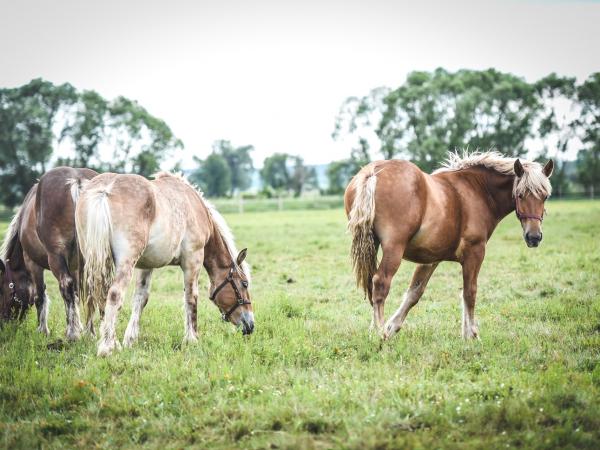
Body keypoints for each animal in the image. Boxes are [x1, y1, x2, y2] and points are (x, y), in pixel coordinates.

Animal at [0, 165, 97, 338]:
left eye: (2, 289)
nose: (4, 323)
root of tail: (77, 180)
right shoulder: (74, 267)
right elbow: (76, 295)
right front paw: (77, 326)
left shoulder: (33, 263)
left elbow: (40, 295)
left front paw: (43, 330)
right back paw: (90, 333)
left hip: (55, 257)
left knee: (65, 285)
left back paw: (72, 334)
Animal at [74, 171, 253, 356]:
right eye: (244, 284)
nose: (250, 324)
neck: (195, 206)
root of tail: (105, 190)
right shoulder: (192, 260)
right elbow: (191, 298)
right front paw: (192, 339)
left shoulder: (146, 266)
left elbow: (141, 298)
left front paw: (130, 339)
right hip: (125, 264)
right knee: (114, 295)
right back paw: (107, 347)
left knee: (96, 296)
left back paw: (110, 341)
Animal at [344, 152, 556, 342]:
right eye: (520, 195)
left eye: (545, 196)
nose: (534, 237)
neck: (478, 190)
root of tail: (373, 172)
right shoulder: (474, 253)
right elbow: (470, 292)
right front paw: (472, 335)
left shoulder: (431, 260)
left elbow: (414, 293)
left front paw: (392, 327)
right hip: (393, 249)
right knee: (381, 283)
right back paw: (378, 334)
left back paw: (379, 331)